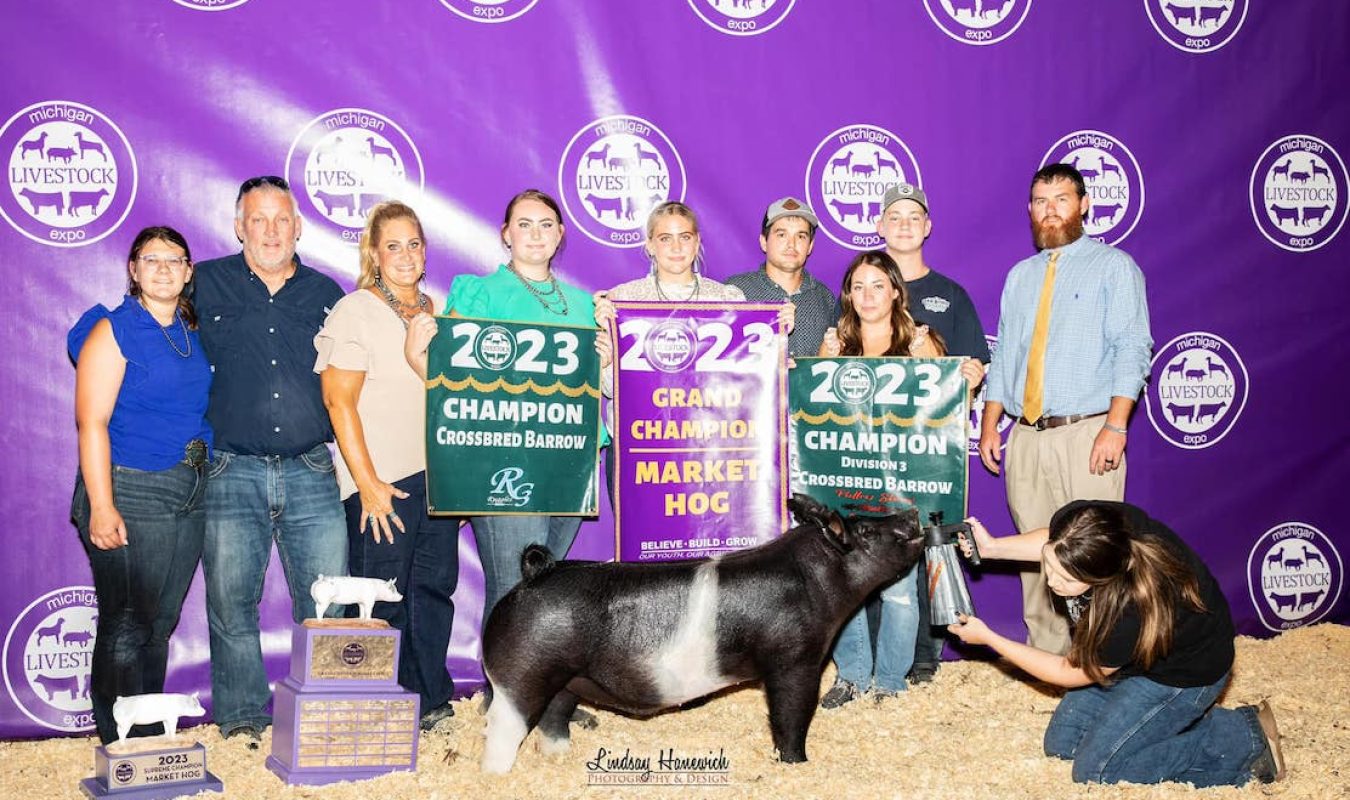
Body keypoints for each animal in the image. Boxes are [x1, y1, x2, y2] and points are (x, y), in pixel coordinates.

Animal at [480, 493, 923, 771]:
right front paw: (797, 764)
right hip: (523, 674)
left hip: (567, 678)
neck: (816, 581)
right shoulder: (793, 661)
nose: (913, 515)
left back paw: (557, 757)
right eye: (865, 533)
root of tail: (535, 575)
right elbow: (790, 715)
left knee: (555, 714)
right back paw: (496, 775)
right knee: (503, 727)